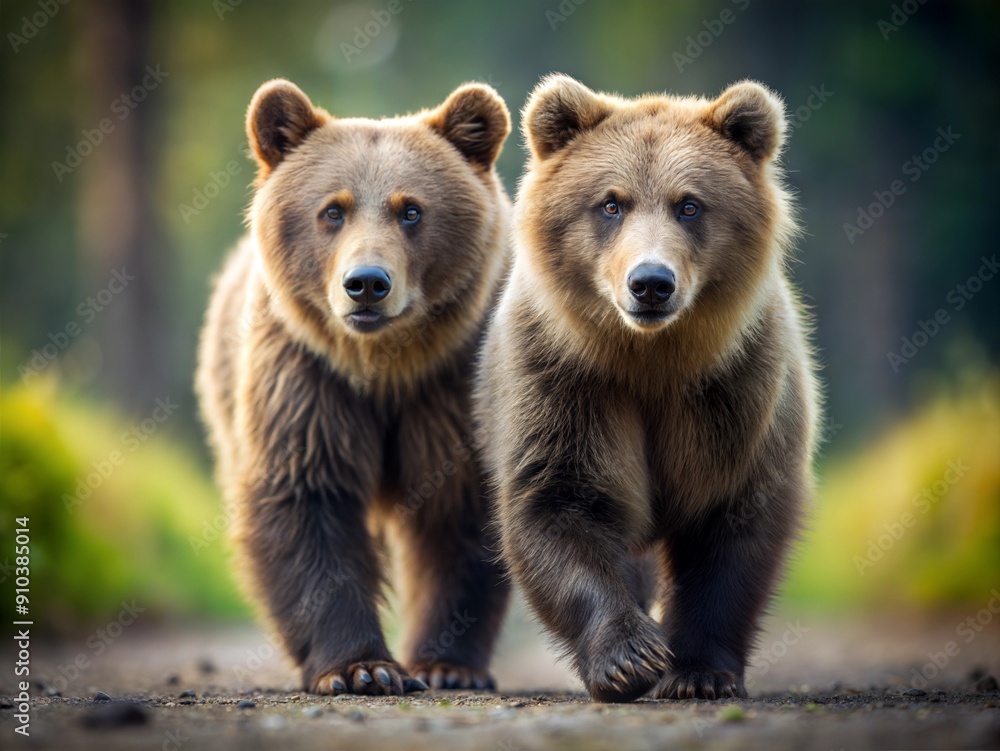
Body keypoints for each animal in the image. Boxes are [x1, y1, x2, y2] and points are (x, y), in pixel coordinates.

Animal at [195, 78, 513, 695]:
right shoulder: (307, 378)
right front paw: (362, 667)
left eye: (411, 210)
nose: (366, 283)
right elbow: (308, 502)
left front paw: (446, 664)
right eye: (332, 210)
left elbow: (462, 516)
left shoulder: (453, 385)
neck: (385, 365)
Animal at [475, 75, 820, 702]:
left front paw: (700, 672)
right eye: (611, 203)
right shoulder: (566, 383)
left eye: (690, 204)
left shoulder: (737, 393)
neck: (652, 361)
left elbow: (731, 526)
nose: (651, 283)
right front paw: (630, 657)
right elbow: (560, 505)